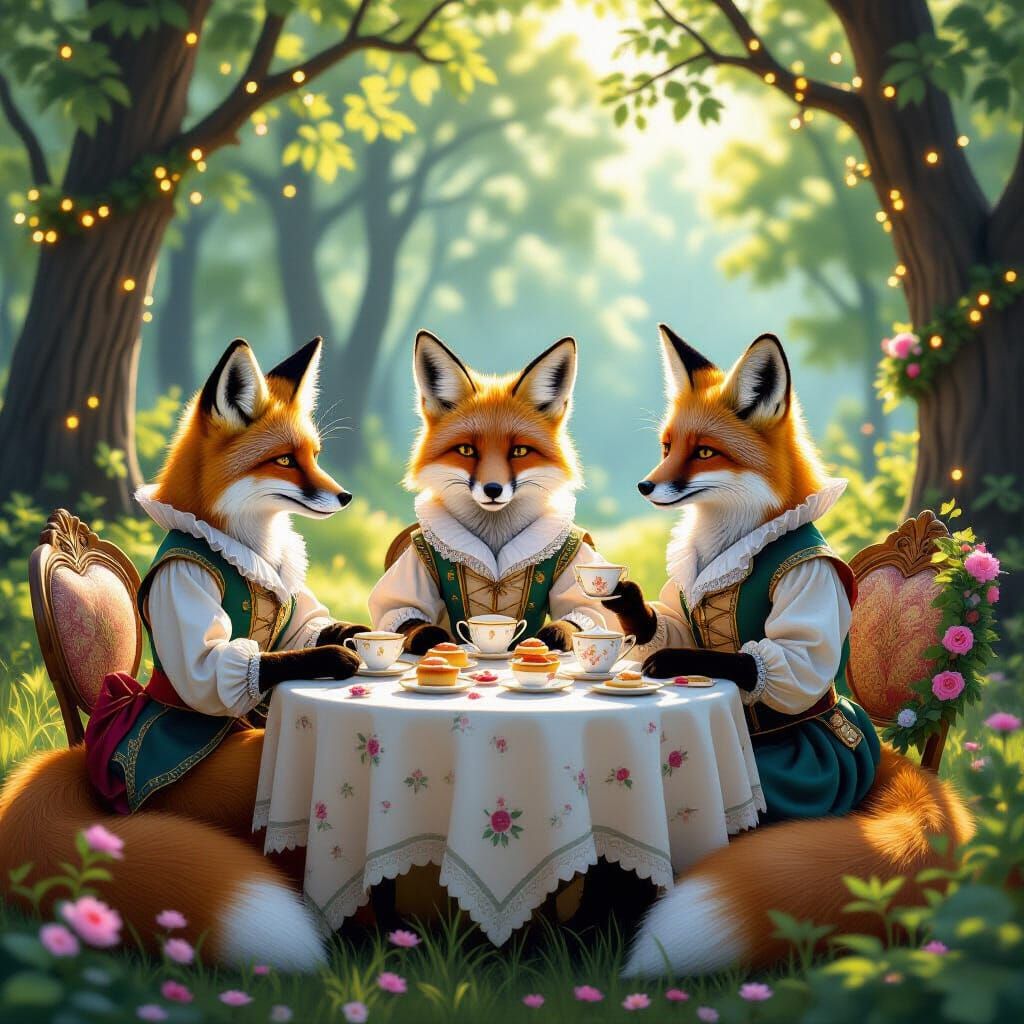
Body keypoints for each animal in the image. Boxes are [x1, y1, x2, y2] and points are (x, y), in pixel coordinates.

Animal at [0, 337, 371, 970]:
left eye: (314, 454)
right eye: (285, 461)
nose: (345, 495)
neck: (244, 544)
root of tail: (86, 760)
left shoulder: (293, 609)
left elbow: (309, 627)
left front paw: (377, 637)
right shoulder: (187, 598)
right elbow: (228, 667)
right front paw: (332, 662)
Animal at [605, 325, 974, 976]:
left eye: (704, 453)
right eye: (668, 445)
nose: (645, 485)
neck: (733, 538)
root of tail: (883, 762)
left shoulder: (809, 597)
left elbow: (769, 665)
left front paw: (670, 665)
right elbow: (669, 622)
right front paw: (629, 605)